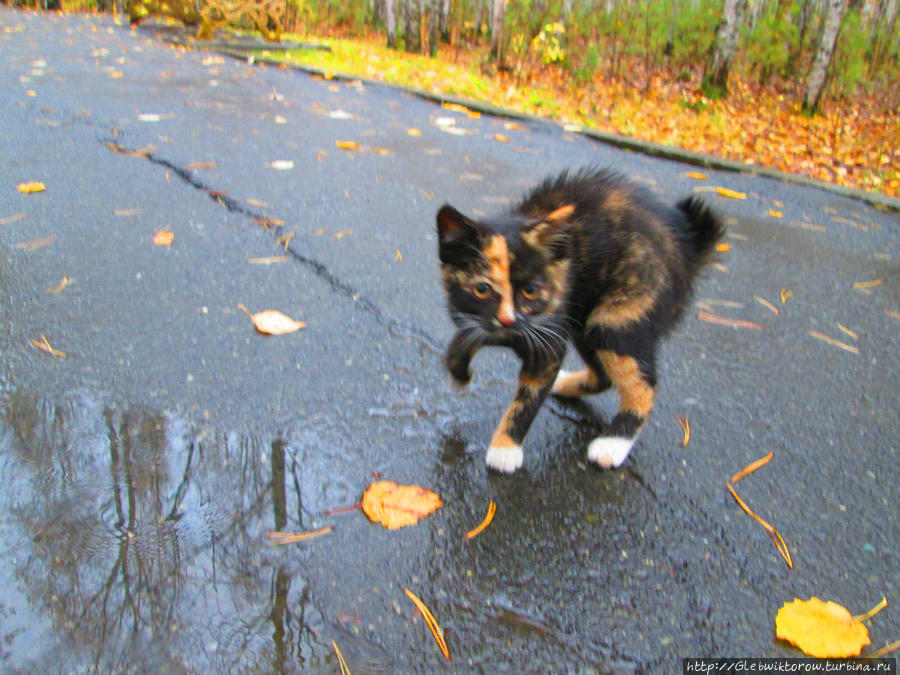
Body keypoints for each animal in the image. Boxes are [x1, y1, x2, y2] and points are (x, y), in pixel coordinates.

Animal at [436, 168, 724, 472]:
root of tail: (688, 246)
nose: (508, 320)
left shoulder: (547, 337)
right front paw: (460, 372)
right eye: (482, 289)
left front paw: (505, 449)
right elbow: (463, 340)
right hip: (584, 320)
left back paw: (613, 444)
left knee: (643, 384)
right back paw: (565, 385)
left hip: (618, 315)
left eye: (530, 290)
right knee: (604, 375)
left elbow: (528, 398)